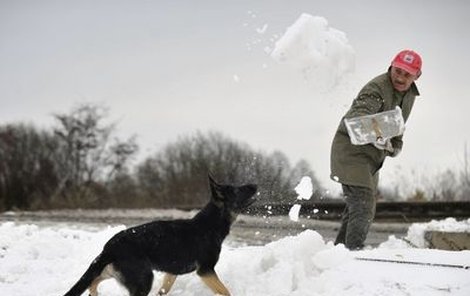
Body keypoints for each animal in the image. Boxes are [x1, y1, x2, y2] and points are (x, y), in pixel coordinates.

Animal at [63, 175, 258, 296]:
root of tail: (109, 247)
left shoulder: (172, 273)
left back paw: (94, 292)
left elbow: (163, 290)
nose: (255, 185)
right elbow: (225, 291)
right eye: (236, 190)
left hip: (113, 272)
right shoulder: (205, 270)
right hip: (143, 280)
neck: (211, 223)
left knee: (92, 282)